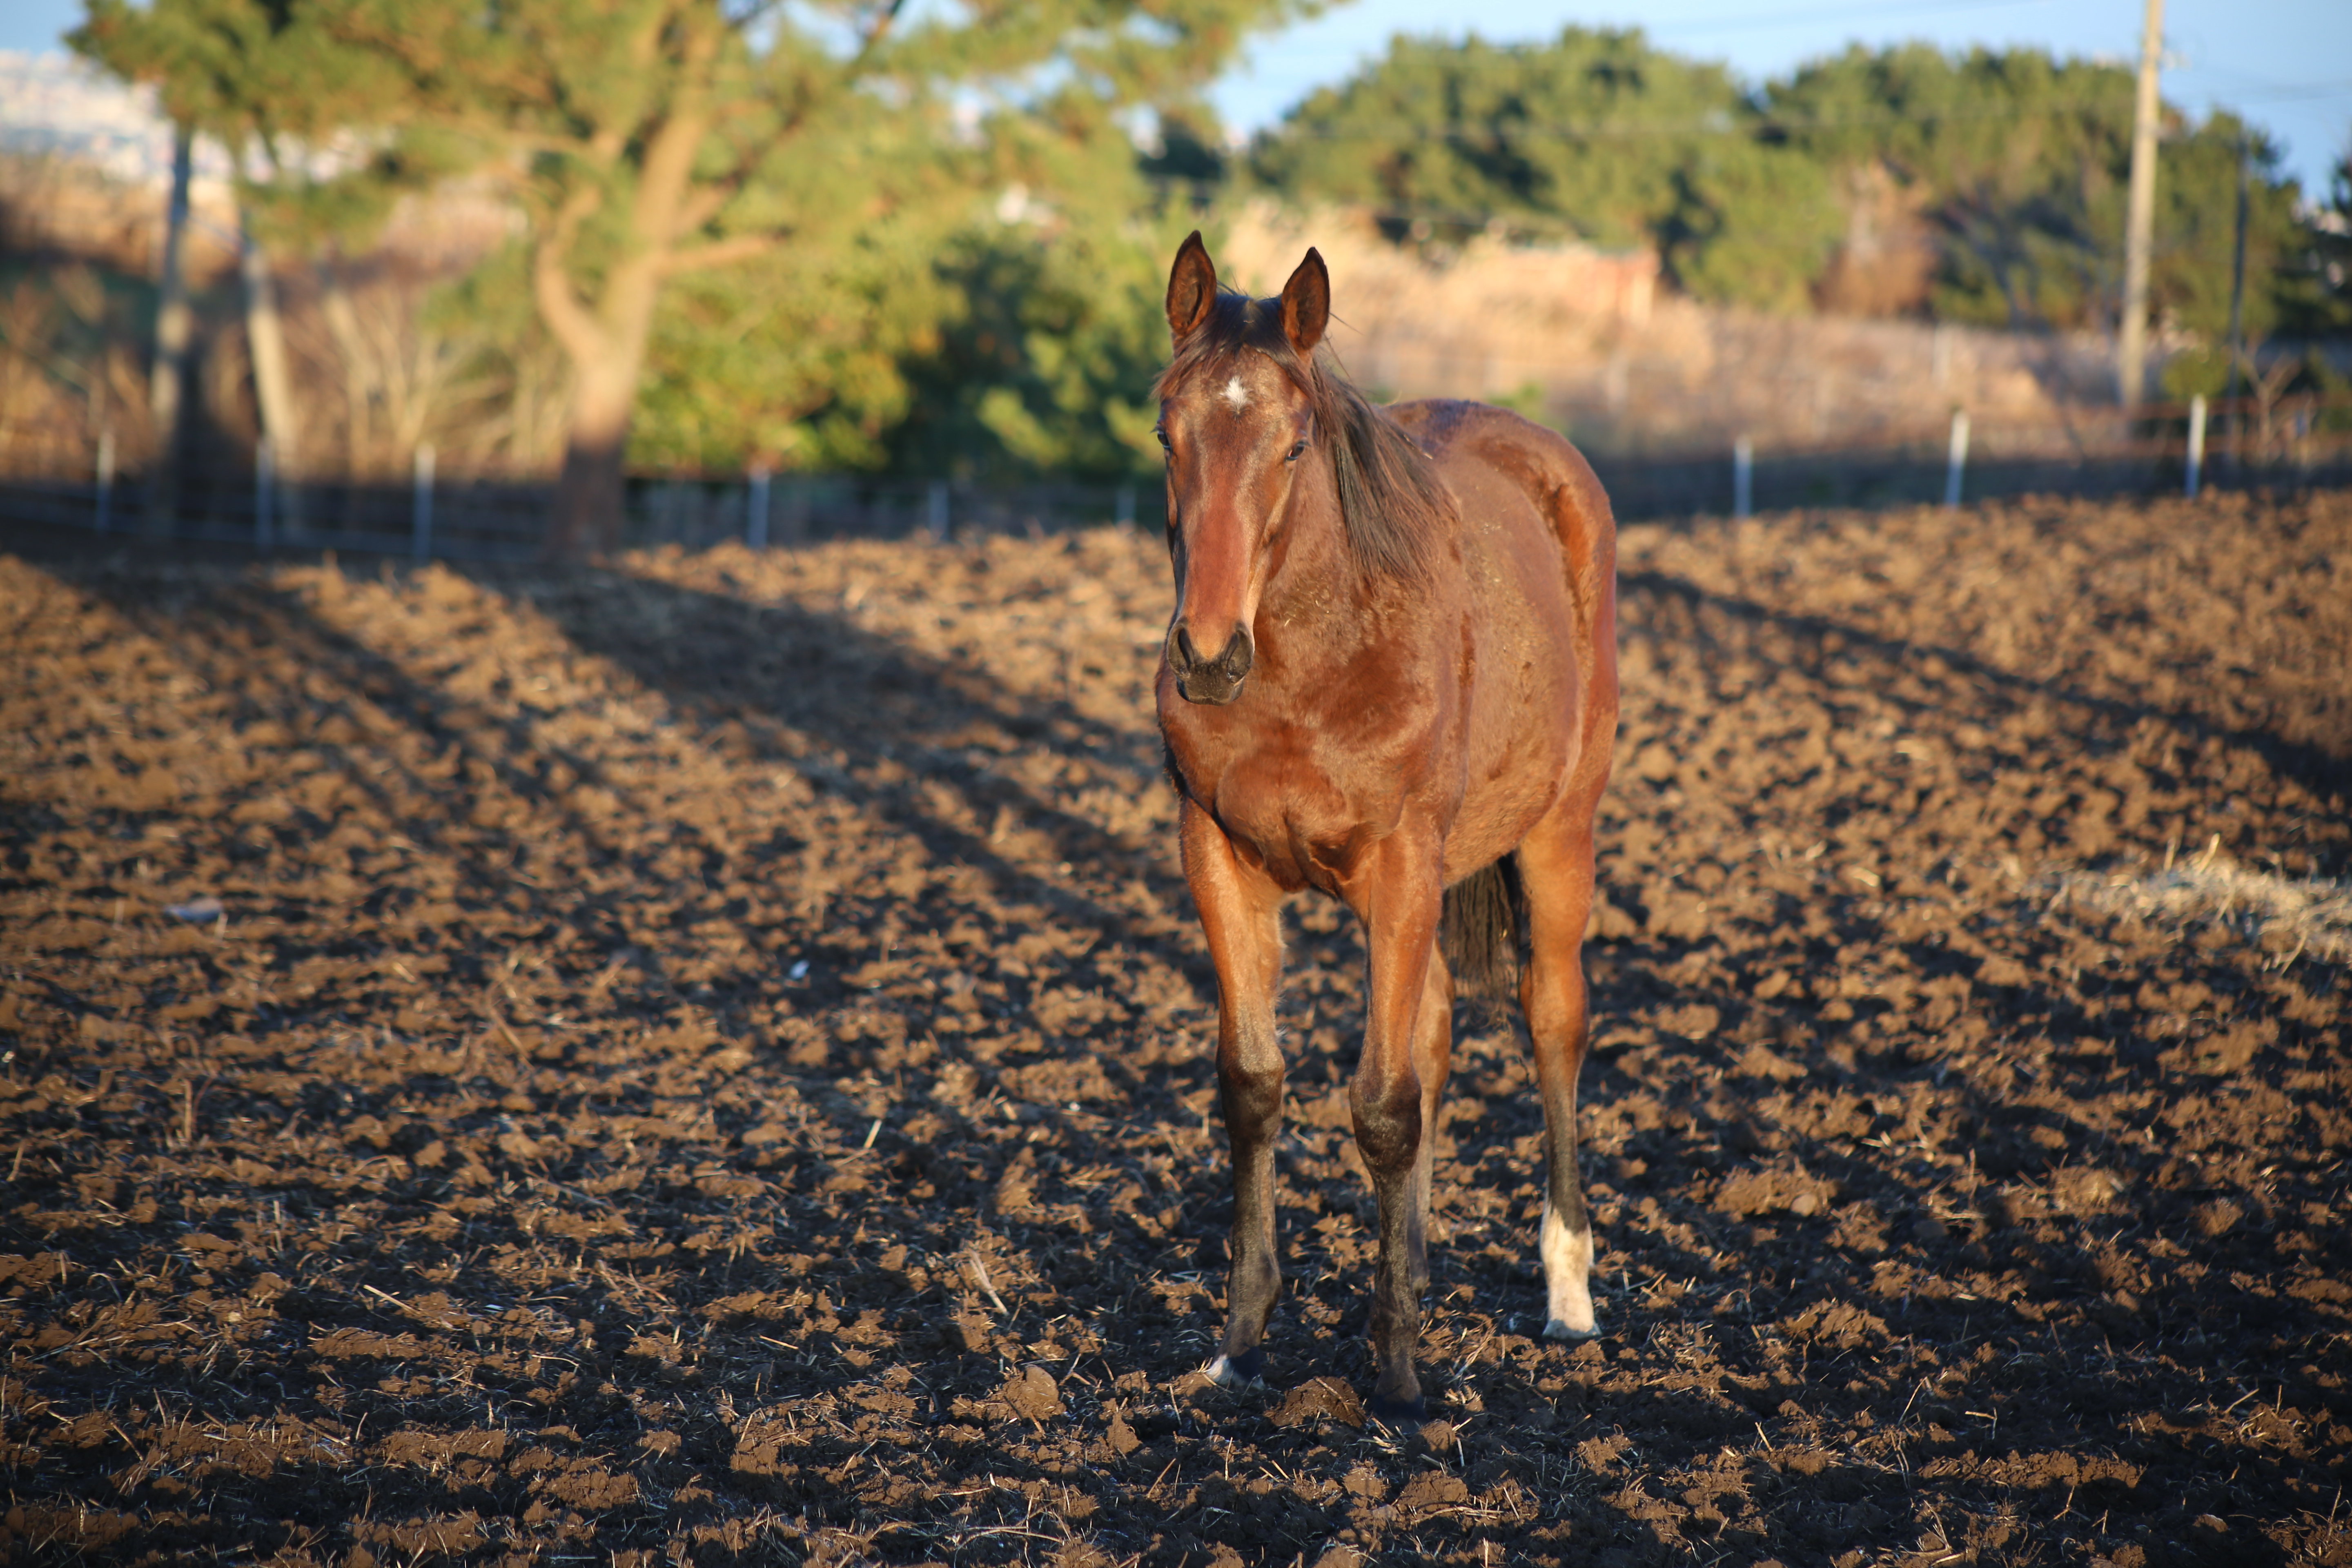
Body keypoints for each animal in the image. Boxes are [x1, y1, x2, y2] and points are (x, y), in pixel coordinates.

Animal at [1152, 230, 1618, 1420]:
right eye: (1166, 432)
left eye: (1291, 443)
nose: (1207, 654)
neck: (1311, 668)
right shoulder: (1218, 864)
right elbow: (1256, 1088)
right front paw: (1240, 1346)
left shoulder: (1400, 867)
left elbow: (1382, 1108)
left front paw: (1400, 1375)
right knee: (1442, 1034)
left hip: (1558, 838)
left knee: (1552, 1021)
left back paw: (1568, 1297)